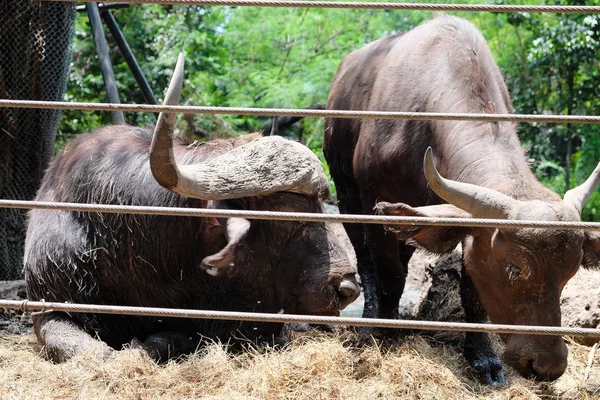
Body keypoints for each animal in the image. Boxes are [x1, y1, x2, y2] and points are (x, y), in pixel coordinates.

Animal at [324, 15, 600, 382]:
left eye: (570, 272)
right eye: (514, 268)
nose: (547, 364)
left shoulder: (465, 228)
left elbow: (472, 291)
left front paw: (483, 356)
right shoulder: (374, 202)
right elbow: (387, 274)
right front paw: (384, 333)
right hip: (346, 194)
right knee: (366, 259)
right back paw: (372, 317)